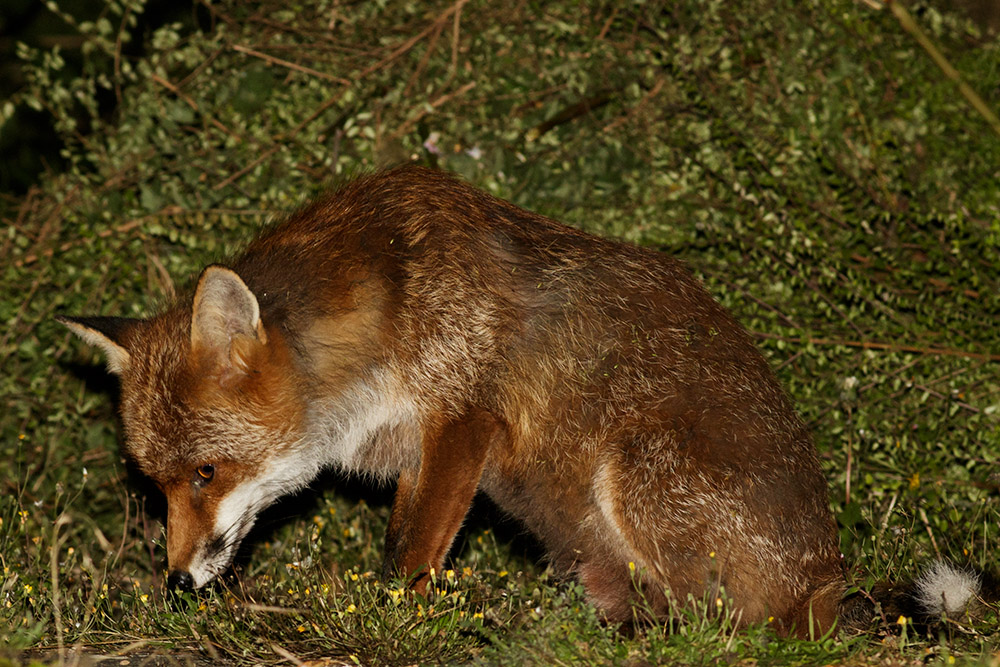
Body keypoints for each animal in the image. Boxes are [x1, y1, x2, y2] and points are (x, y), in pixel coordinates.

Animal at [59, 165, 983, 637]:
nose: (177, 581)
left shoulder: (462, 420)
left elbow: (407, 563)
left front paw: (396, 631)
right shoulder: (416, 449)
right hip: (583, 539)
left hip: (638, 468)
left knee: (728, 632)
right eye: (156, 483)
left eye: (207, 472)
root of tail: (826, 574)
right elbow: (400, 542)